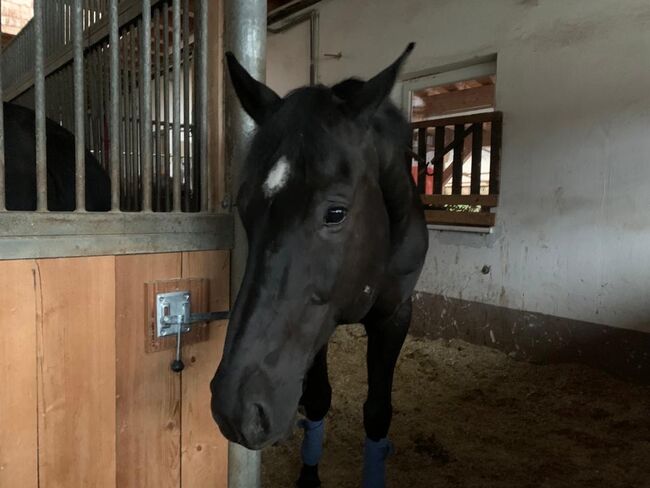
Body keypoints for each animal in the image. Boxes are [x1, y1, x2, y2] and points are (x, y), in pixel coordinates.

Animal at [210, 43, 428, 486]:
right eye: (245, 209)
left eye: (335, 213)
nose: (236, 411)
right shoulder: (318, 324)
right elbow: (317, 399)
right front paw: (309, 475)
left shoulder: (396, 315)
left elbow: (377, 414)